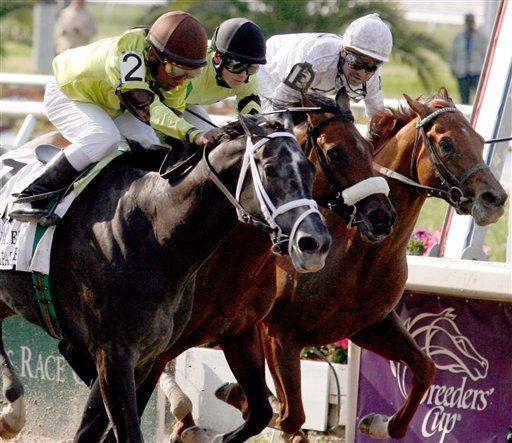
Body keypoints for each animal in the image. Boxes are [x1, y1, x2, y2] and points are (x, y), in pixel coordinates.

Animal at [0, 115, 332, 443]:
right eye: (270, 169)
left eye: (309, 169)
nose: (315, 242)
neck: (155, 232)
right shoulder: (114, 353)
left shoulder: (150, 354)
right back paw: (12, 411)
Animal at [42, 91, 398, 443]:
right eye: (335, 153)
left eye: (367, 148)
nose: (382, 216)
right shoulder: (142, 351)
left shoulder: (237, 332)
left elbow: (260, 412)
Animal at [206, 89, 506, 440]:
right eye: (446, 143)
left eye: (480, 140)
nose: (495, 199)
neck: (353, 253)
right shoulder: (278, 333)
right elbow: (290, 414)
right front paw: (235, 400)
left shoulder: (371, 326)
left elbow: (425, 369)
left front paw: (377, 423)